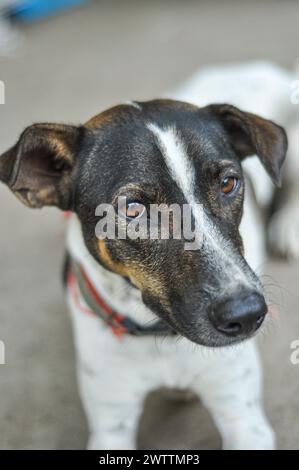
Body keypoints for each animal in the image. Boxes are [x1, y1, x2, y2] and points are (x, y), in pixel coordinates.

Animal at [0, 60, 298, 450]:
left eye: (228, 183)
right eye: (133, 208)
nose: (247, 315)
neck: (161, 336)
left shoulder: (243, 416)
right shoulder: (110, 425)